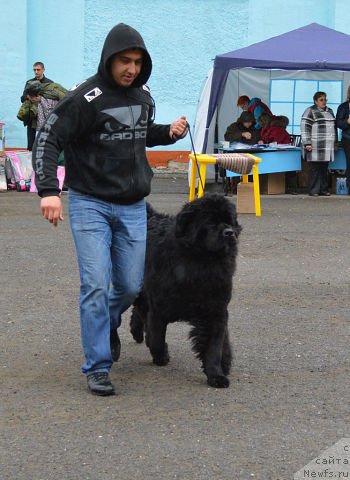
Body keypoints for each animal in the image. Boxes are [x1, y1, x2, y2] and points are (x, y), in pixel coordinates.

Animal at [130, 193, 242, 388]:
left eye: (229, 221)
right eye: (210, 221)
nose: (229, 232)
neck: (202, 262)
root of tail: (151, 217)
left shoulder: (216, 310)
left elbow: (214, 347)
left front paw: (216, 375)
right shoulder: (159, 308)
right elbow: (156, 338)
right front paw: (162, 356)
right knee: (141, 310)